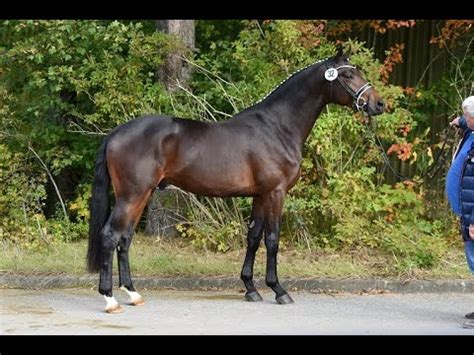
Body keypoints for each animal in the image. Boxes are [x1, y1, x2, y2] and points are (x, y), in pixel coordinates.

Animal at [88, 48, 386, 314]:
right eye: (347, 74)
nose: (378, 104)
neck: (277, 127)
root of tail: (117, 132)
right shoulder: (276, 193)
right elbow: (272, 239)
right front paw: (279, 290)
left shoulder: (260, 195)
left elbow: (253, 237)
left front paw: (251, 289)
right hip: (131, 195)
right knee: (110, 236)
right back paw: (110, 299)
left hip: (143, 195)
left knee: (125, 239)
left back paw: (132, 294)